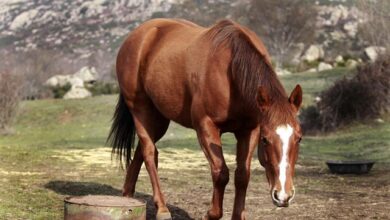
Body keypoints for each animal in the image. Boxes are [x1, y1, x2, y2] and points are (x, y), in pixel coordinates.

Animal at [108, 18, 304, 220]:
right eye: (266, 140)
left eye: (299, 138)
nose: (283, 195)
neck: (230, 72)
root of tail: (139, 35)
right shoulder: (206, 126)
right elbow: (221, 172)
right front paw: (211, 214)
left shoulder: (249, 130)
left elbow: (242, 175)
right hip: (140, 109)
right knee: (149, 152)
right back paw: (162, 209)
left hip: (158, 119)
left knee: (143, 150)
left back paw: (127, 197)